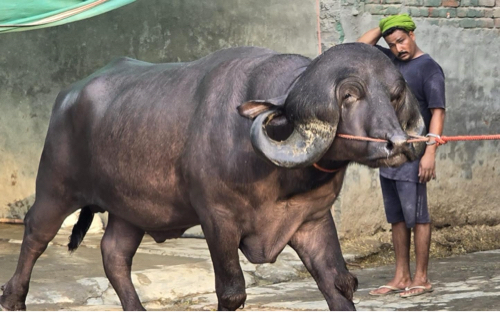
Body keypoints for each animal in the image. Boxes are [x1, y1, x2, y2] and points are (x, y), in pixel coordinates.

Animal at [0, 42, 426, 310]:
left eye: (394, 95)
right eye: (348, 95)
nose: (398, 144)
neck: (279, 174)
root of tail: (68, 95)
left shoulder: (312, 219)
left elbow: (339, 282)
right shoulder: (216, 218)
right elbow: (232, 291)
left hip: (130, 209)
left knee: (114, 254)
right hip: (55, 187)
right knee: (35, 234)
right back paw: (13, 298)